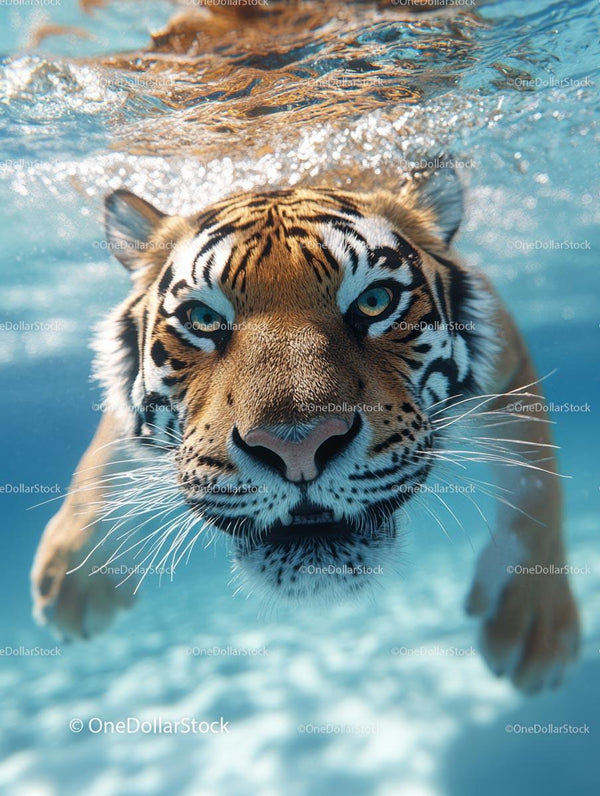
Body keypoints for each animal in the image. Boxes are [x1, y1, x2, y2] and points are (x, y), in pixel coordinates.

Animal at [30, 167, 580, 693]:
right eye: (203, 317)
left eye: (375, 301)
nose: (297, 447)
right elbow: (102, 456)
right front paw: (71, 576)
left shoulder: (509, 371)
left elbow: (537, 483)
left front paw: (533, 623)